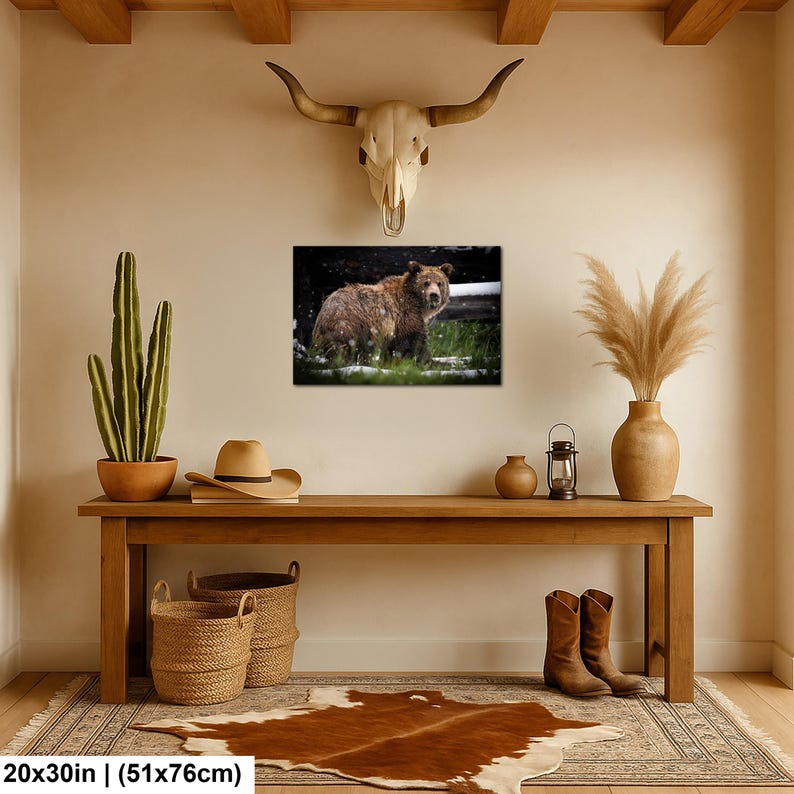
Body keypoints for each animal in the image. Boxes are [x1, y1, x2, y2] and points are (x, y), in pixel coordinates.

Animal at [312, 261, 453, 364]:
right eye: (426, 282)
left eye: (440, 283)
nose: (434, 295)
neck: (417, 304)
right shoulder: (405, 316)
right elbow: (415, 341)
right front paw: (427, 361)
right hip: (350, 323)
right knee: (347, 349)